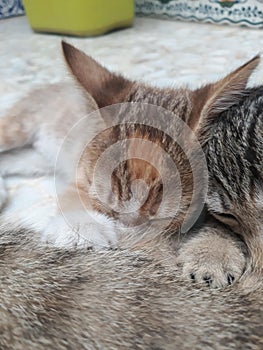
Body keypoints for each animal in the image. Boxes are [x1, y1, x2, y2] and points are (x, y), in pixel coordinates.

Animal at [0, 41, 260, 288]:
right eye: (109, 209)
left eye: (158, 221)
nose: (130, 237)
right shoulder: (81, 176)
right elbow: (74, 196)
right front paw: (80, 227)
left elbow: (223, 224)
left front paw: (212, 255)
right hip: (18, 128)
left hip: (35, 159)